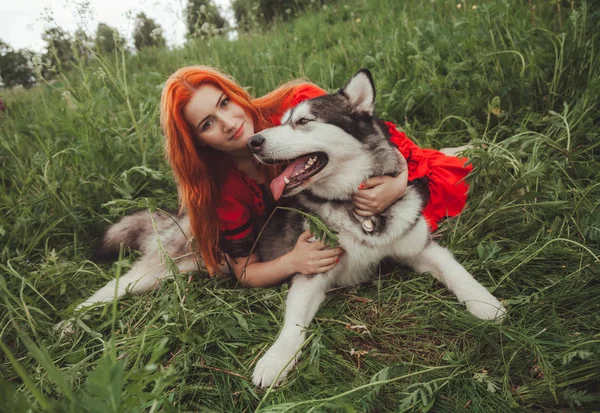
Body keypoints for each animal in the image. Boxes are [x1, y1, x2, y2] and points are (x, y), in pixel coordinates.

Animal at [246, 69, 504, 388]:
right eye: (282, 122)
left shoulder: (419, 246)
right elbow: (292, 323)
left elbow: (457, 272)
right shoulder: (313, 268)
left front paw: (485, 303)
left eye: (303, 121)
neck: (355, 208)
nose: (252, 141)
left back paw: (483, 147)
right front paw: (275, 359)